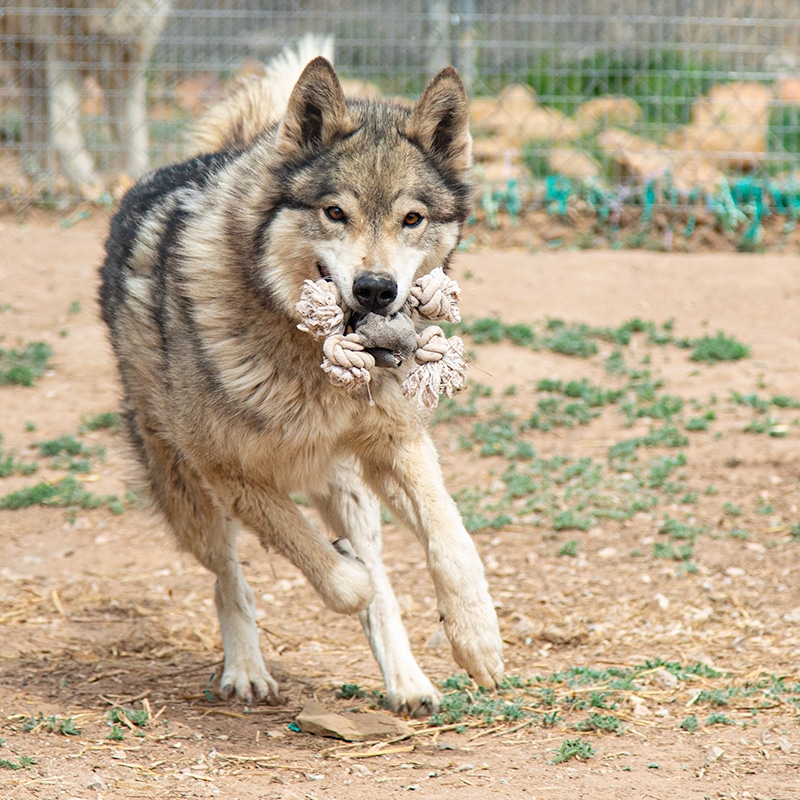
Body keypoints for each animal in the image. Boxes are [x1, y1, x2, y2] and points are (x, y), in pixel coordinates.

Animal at [98, 47, 500, 716]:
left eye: (412, 219)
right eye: (335, 212)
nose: (375, 289)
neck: (314, 363)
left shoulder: (397, 446)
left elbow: (450, 542)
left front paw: (478, 638)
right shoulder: (229, 473)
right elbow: (336, 577)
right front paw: (343, 570)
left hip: (349, 491)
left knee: (378, 572)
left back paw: (408, 682)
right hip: (188, 501)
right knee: (230, 581)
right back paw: (246, 671)